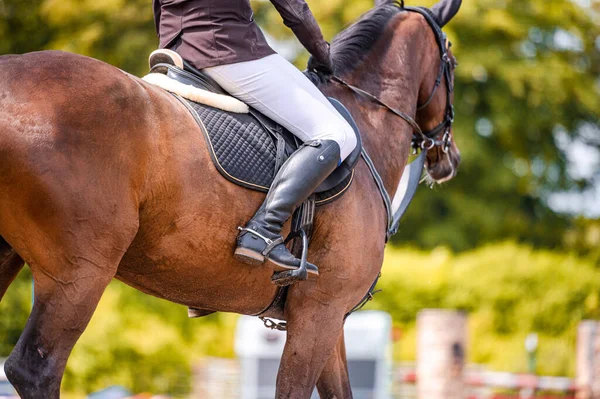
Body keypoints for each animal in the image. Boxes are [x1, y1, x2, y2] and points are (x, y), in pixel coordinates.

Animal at [0, 0, 460, 396]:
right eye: (451, 63)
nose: (449, 157)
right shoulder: (321, 312)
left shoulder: (329, 321)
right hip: (81, 270)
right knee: (35, 368)